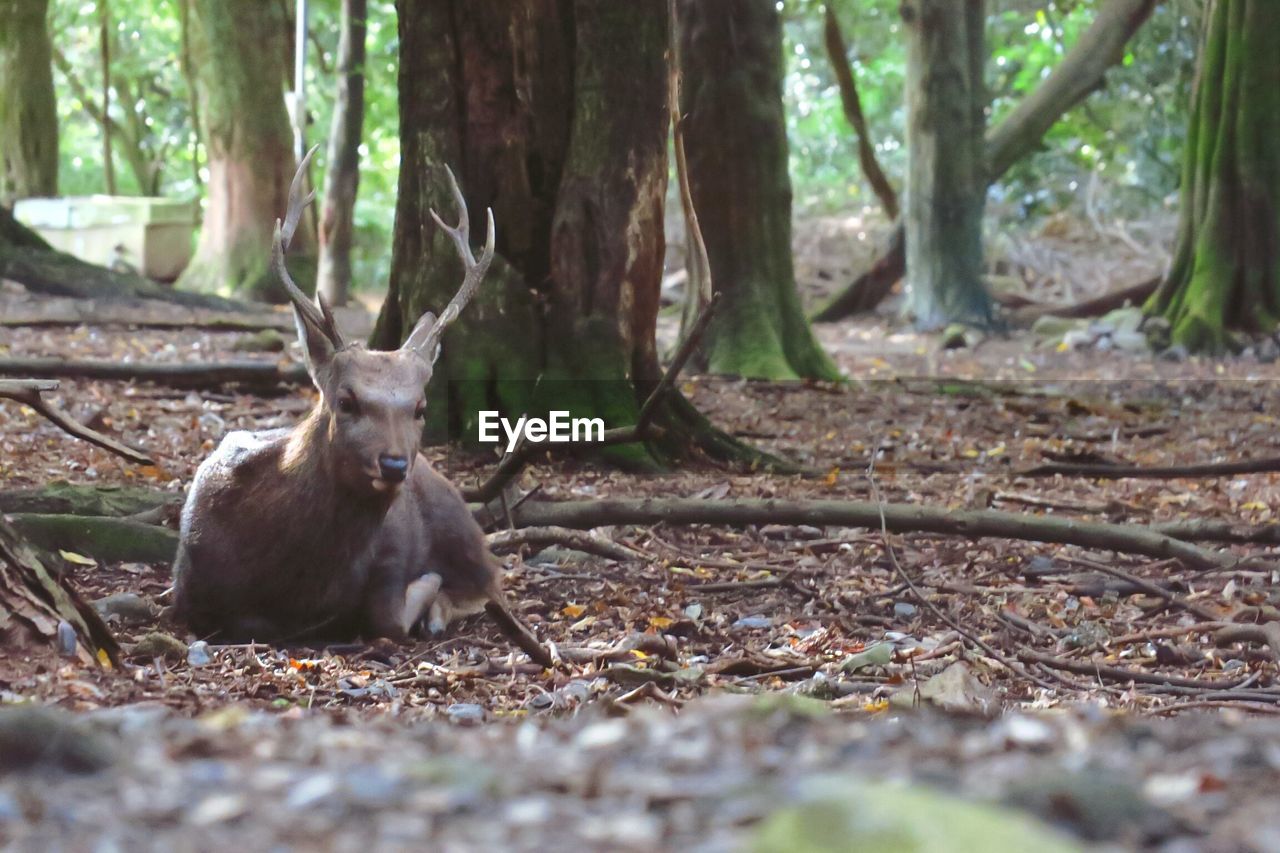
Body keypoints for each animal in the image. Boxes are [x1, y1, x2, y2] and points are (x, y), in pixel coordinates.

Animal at [171, 147, 550, 666]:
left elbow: (391, 615)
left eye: (420, 407)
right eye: (346, 400)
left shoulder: (393, 557)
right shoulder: (188, 588)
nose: (393, 464)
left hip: (459, 520)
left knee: (491, 578)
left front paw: (425, 592)